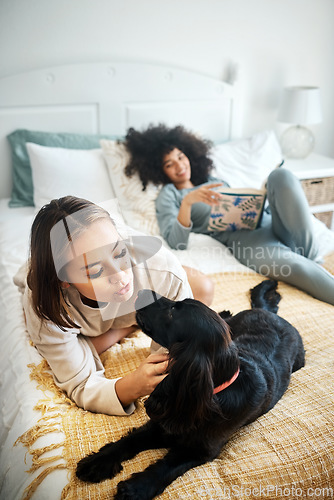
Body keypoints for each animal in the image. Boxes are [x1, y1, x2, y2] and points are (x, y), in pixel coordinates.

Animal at [76, 280, 306, 498]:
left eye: (172, 311)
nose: (140, 291)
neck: (210, 396)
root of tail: (270, 313)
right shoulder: (162, 423)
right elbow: (130, 440)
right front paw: (97, 462)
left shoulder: (200, 450)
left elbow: (167, 467)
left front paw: (136, 488)